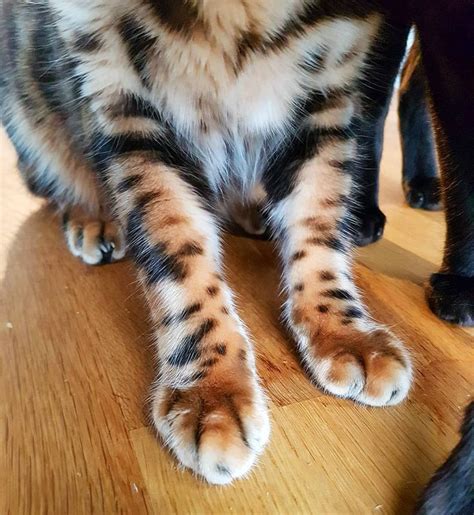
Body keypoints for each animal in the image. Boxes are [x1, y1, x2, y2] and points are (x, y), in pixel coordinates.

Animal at [0, 0, 434, 486]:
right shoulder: (120, 95)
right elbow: (178, 257)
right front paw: (211, 393)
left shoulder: (330, 92)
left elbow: (319, 223)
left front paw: (343, 331)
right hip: (23, 106)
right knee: (58, 173)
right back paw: (92, 217)